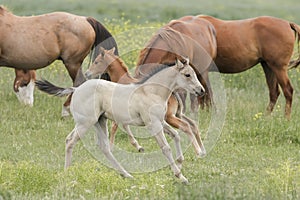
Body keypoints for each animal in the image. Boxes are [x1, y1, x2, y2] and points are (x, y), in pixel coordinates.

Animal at [35, 57, 204, 183]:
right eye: (187, 75)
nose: (201, 90)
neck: (150, 91)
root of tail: (76, 89)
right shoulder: (153, 124)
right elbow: (166, 147)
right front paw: (180, 176)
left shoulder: (161, 121)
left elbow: (176, 135)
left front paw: (180, 162)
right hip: (85, 123)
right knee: (71, 141)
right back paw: (68, 173)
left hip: (99, 121)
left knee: (102, 147)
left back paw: (126, 174)